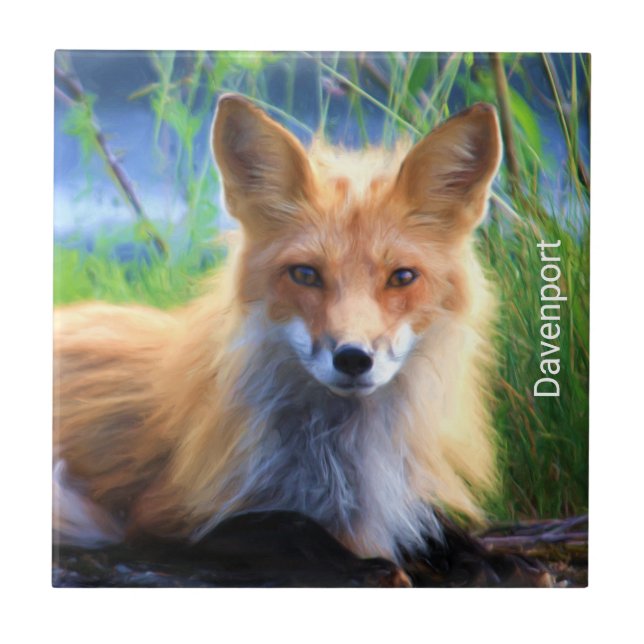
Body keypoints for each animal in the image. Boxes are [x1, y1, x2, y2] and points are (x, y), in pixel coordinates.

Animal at [54, 94, 504, 576]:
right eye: (305, 274)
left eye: (401, 277)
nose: (353, 358)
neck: (340, 462)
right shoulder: (158, 520)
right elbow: (288, 525)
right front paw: (366, 566)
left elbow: (444, 531)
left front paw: (485, 560)